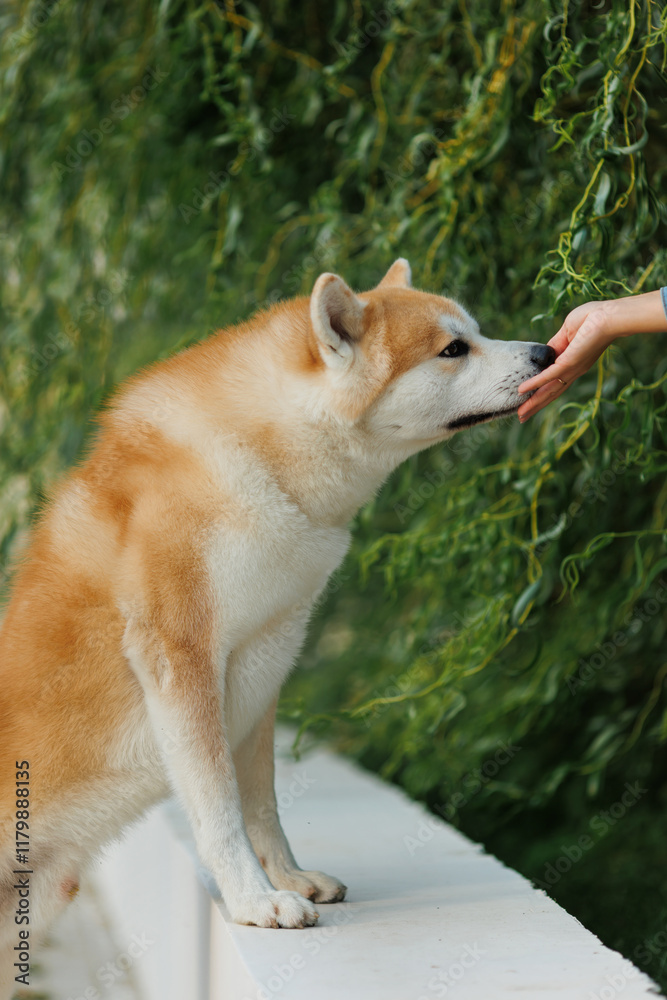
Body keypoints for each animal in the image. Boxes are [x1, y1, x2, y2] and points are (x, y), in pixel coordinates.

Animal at [0, 258, 555, 992]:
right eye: (452, 349)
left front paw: (287, 878)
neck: (261, 462)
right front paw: (252, 900)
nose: (545, 352)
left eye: (476, 333)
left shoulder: (261, 669)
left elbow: (261, 805)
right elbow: (219, 808)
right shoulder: (182, 659)